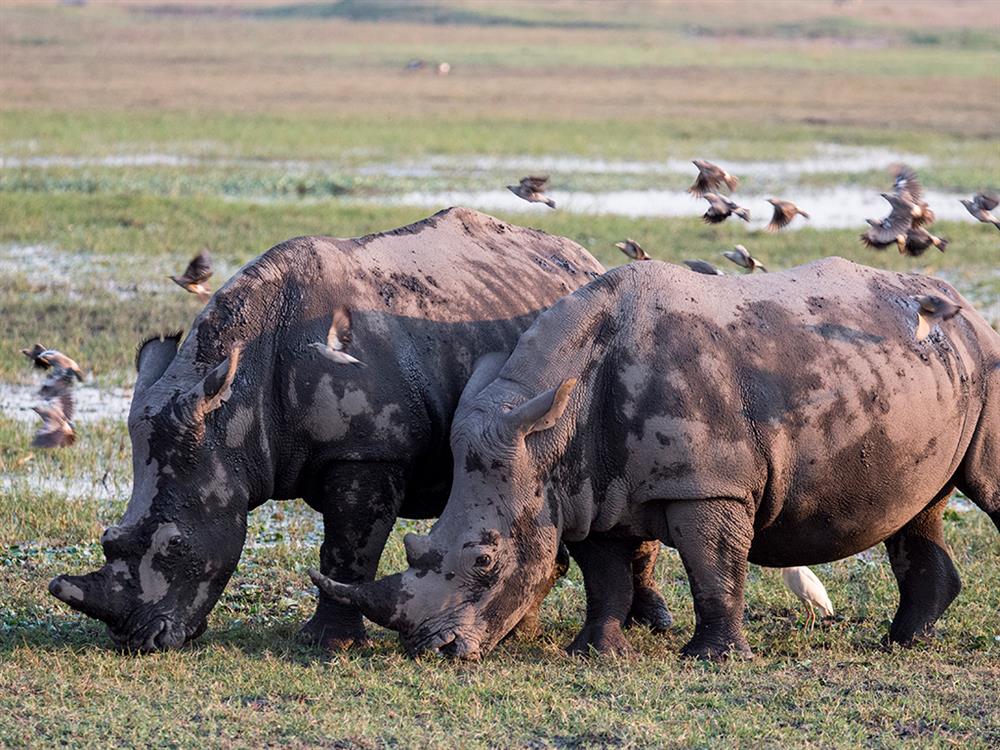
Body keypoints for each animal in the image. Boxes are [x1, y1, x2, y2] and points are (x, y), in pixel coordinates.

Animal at [48, 209, 672, 656]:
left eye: (177, 546)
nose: (134, 642)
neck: (232, 410)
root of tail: (580, 257)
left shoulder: (368, 453)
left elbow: (348, 547)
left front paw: (330, 646)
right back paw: (523, 631)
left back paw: (651, 624)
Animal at [314, 260, 1000, 664]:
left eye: (485, 560)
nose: (432, 650)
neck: (550, 431)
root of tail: (962, 302)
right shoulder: (582, 491)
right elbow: (606, 577)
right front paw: (594, 653)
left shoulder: (709, 485)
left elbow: (713, 569)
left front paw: (712, 659)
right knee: (921, 508)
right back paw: (905, 641)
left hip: (986, 359)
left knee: (984, 489)